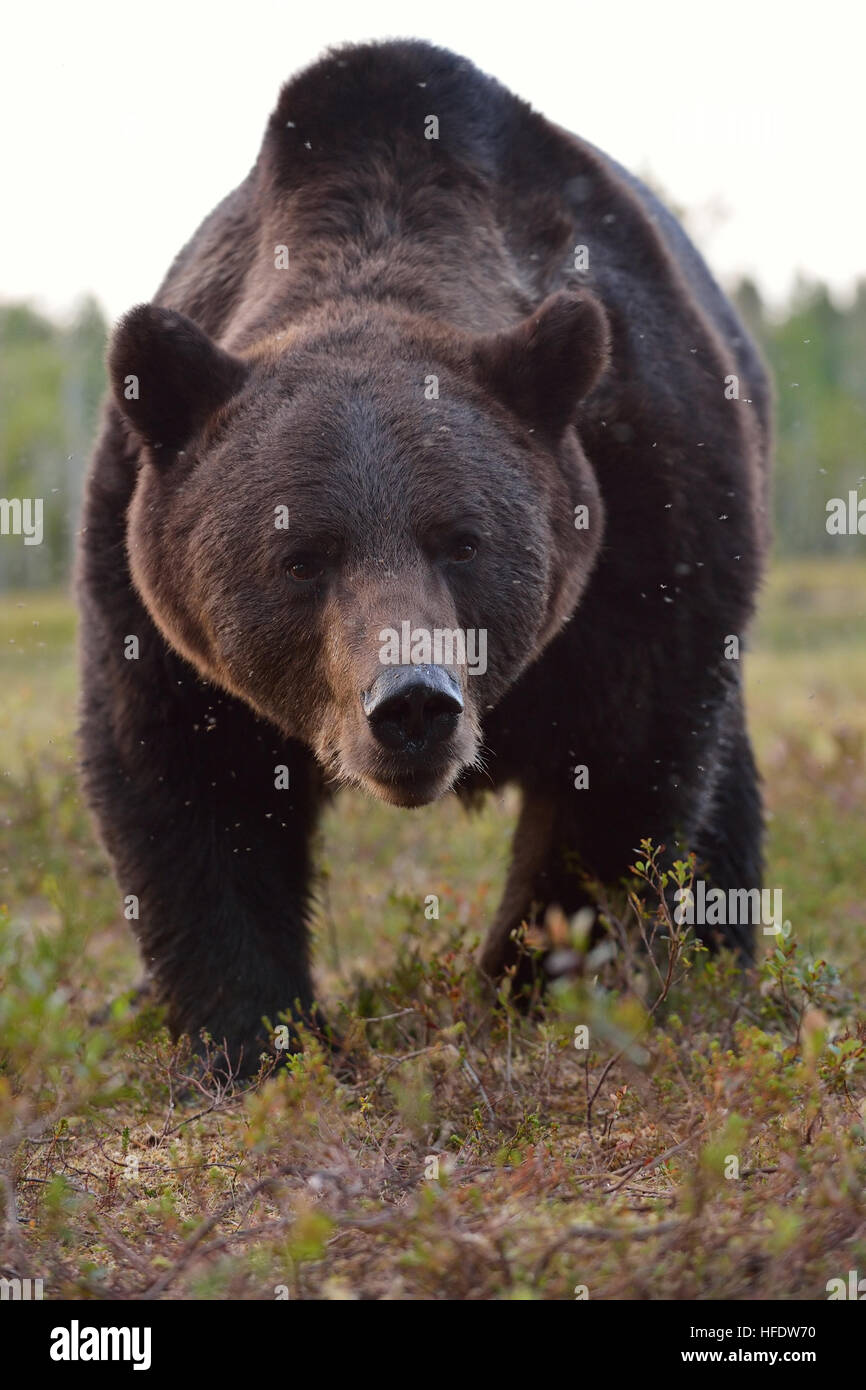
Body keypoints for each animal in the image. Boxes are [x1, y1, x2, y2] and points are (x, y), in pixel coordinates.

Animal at [79, 38, 772, 1067]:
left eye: (462, 541)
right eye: (301, 557)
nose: (411, 703)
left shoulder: (650, 519)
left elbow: (619, 775)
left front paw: (518, 998)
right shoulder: (146, 592)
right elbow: (189, 790)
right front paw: (258, 1041)